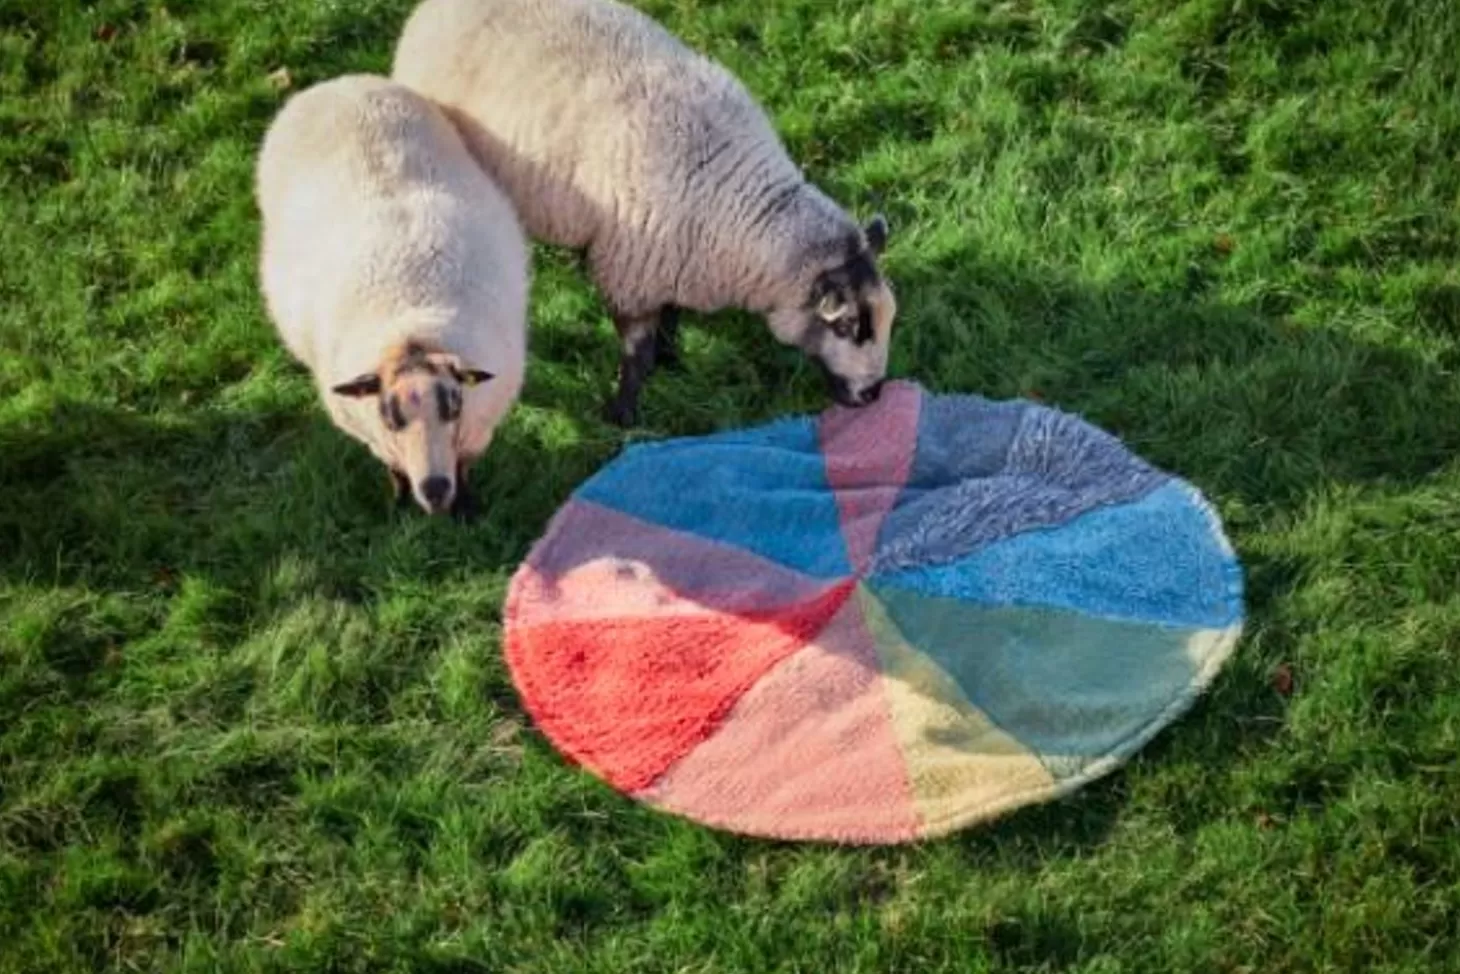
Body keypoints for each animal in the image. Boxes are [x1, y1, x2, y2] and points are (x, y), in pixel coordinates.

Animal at [256, 73, 531, 522]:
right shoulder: (374, 437)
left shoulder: (478, 429)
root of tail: (342, 82)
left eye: (454, 406)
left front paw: (467, 508)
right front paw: (399, 501)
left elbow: (466, 468)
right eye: (390, 417)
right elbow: (394, 470)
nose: (435, 489)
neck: (412, 330)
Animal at [388, 0, 893, 423]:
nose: (872, 395)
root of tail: (429, 10)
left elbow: (670, 316)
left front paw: (673, 358)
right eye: (848, 326)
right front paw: (623, 414)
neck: (739, 207)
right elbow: (637, 353)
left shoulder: (674, 258)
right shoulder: (631, 274)